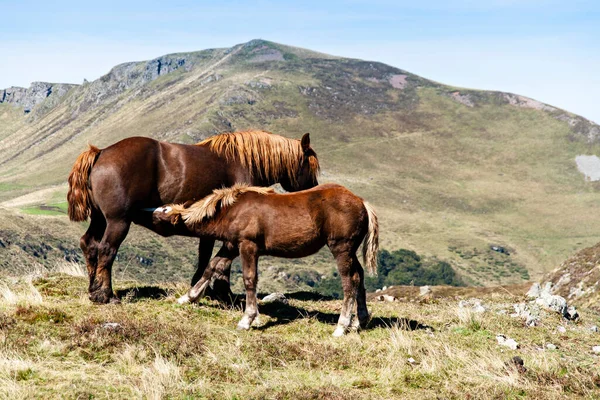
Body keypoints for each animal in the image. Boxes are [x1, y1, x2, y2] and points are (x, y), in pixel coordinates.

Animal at [68, 131, 322, 304]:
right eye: (311, 166)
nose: (315, 189)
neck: (243, 162)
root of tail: (101, 153)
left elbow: (205, 256)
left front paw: (202, 288)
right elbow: (221, 263)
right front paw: (222, 293)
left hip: (100, 219)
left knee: (89, 245)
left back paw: (93, 289)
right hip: (117, 221)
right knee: (106, 250)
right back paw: (105, 295)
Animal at [155, 184, 380, 338]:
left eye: (165, 211)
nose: (153, 212)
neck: (233, 210)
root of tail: (361, 202)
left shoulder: (248, 246)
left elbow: (249, 279)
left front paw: (247, 319)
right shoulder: (231, 245)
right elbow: (212, 266)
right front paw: (188, 297)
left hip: (341, 248)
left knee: (350, 281)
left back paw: (342, 326)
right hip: (350, 251)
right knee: (359, 276)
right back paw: (360, 321)